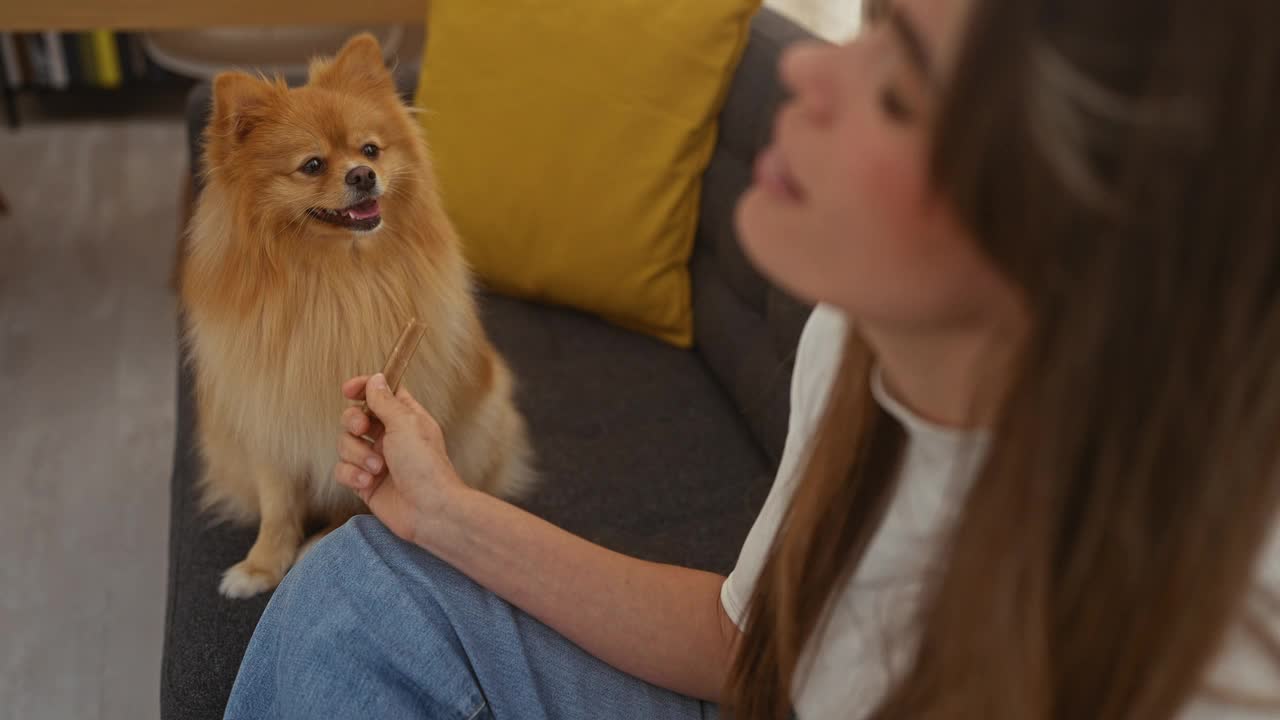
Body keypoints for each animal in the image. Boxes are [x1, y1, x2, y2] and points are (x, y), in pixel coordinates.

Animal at [183, 33, 532, 597]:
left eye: (370, 149)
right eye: (312, 165)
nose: (364, 175)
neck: (336, 278)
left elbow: (355, 496)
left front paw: (323, 543)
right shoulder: (269, 417)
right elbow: (277, 504)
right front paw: (262, 564)